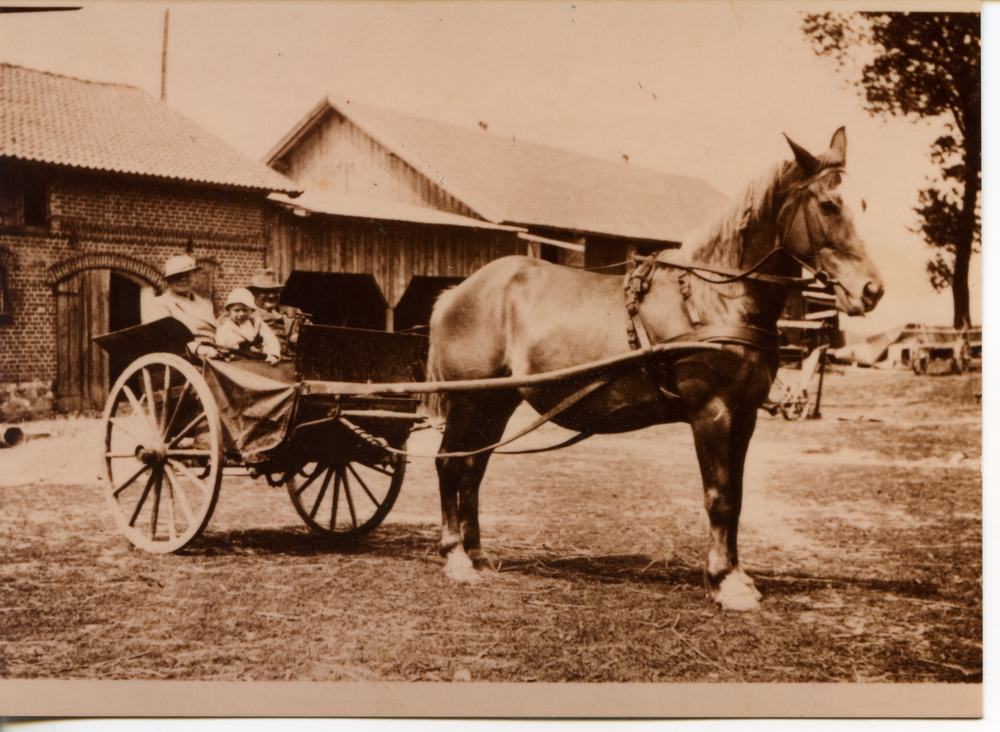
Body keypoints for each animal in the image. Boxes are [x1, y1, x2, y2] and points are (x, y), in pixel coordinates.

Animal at [422, 129, 884, 608]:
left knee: (474, 468)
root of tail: (459, 291)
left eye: (863, 204)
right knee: (450, 465)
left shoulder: (745, 416)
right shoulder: (712, 412)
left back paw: (477, 555)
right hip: (468, 402)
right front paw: (725, 581)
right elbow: (719, 496)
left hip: (495, 402)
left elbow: (736, 497)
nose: (871, 291)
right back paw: (456, 556)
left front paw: (737, 575)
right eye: (828, 204)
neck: (716, 299)